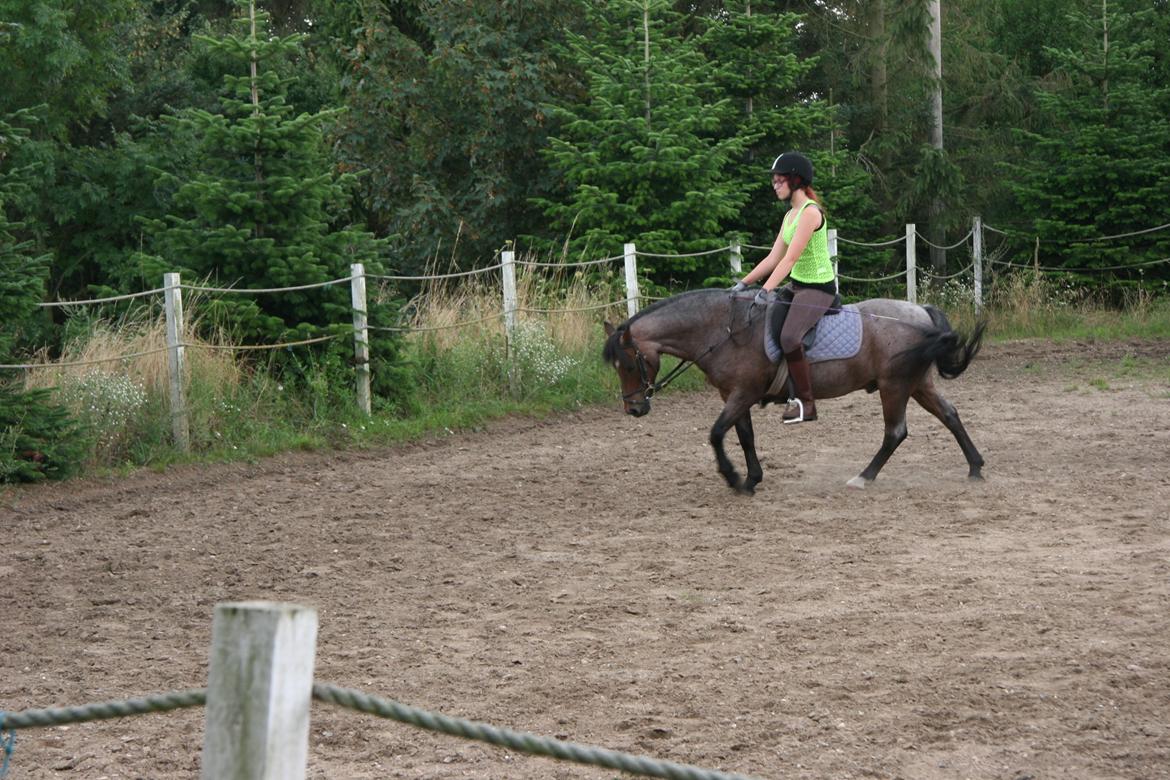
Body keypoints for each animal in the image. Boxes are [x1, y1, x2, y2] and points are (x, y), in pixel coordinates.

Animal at [603, 286, 987, 493]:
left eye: (628, 365)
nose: (633, 408)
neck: (723, 331)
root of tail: (921, 311)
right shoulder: (734, 395)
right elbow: (744, 436)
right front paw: (751, 479)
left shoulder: (743, 393)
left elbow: (716, 433)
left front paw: (732, 477)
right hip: (917, 383)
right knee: (950, 414)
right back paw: (975, 467)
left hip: (894, 385)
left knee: (895, 432)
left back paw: (863, 477)